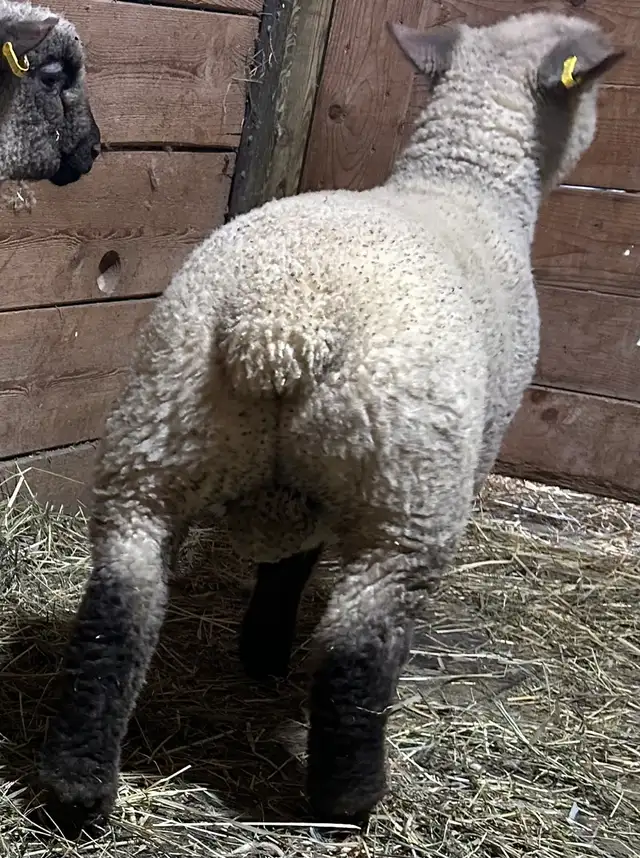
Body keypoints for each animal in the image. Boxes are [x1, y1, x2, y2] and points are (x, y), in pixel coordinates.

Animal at [38, 10, 623, 836]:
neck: (465, 181)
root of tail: (278, 324)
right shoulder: (470, 451)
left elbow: (288, 563)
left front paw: (262, 647)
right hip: (405, 498)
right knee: (355, 658)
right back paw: (349, 802)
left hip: (155, 448)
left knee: (118, 614)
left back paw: (79, 790)